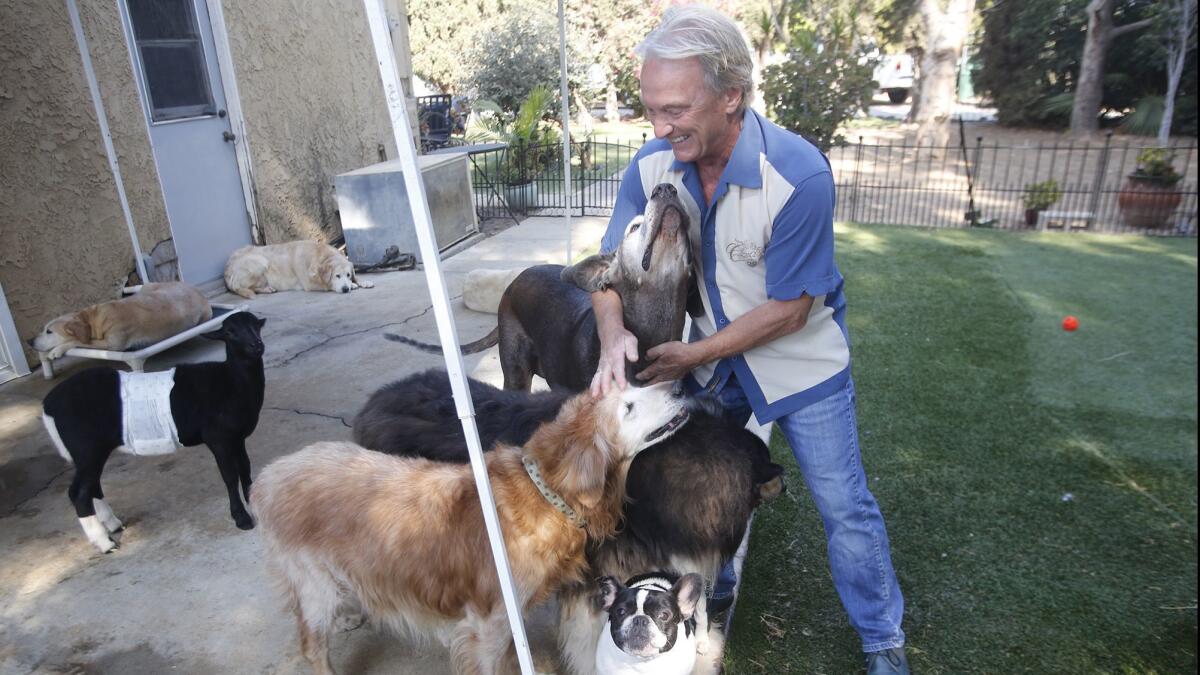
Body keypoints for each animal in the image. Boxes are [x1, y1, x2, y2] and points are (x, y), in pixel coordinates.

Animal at [225, 239, 372, 296]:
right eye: (337, 276)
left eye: (348, 275)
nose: (345, 289)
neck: (320, 255)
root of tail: (227, 271)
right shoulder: (310, 284)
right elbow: (327, 285)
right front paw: (352, 285)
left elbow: (357, 277)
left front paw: (363, 281)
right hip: (260, 262)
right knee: (250, 288)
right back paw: (267, 288)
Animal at [248, 381, 691, 667]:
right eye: (628, 407)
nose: (680, 385)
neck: (544, 492)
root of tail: (267, 476)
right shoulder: (488, 625)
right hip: (313, 584)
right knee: (312, 646)